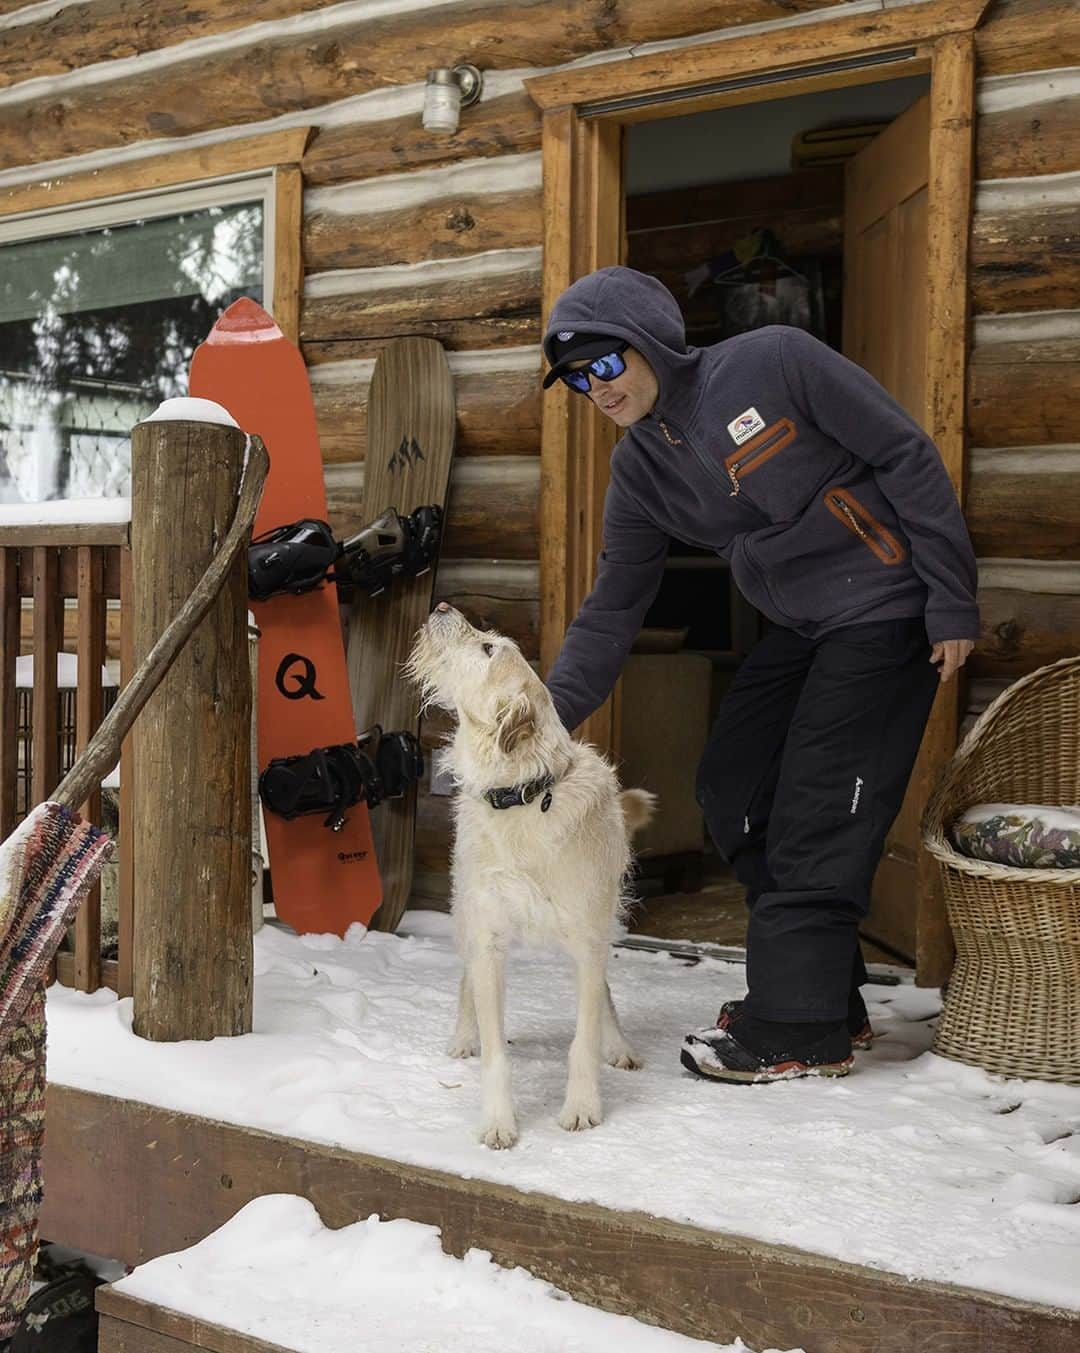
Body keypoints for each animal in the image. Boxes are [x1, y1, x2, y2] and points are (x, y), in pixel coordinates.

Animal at [411, 608, 655, 1147]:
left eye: (488, 649)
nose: (441, 609)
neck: (524, 795)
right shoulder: (489, 938)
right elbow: (495, 1051)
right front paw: (499, 1120)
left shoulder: (588, 939)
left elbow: (584, 1036)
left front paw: (583, 1106)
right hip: (467, 910)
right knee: (466, 977)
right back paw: (464, 1036)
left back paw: (618, 1044)